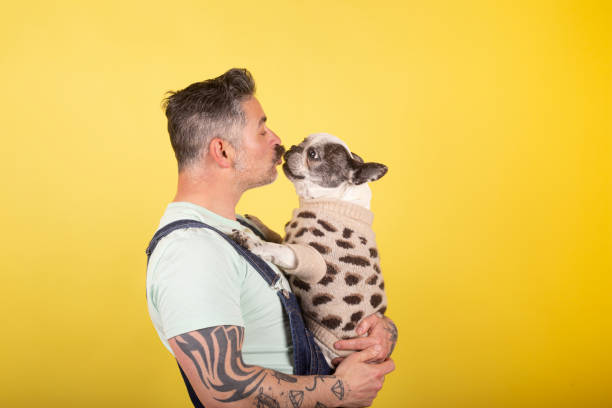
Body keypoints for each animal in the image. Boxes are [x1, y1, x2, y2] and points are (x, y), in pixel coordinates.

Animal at [232, 132, 390, 362]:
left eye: (313, 155)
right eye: (302, 142)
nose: (292, 148)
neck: (332, 200)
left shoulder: (309, 260)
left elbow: (278, 248)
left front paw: (251, 240)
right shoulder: (290, 238)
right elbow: (278, 236)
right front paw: (258, 224)